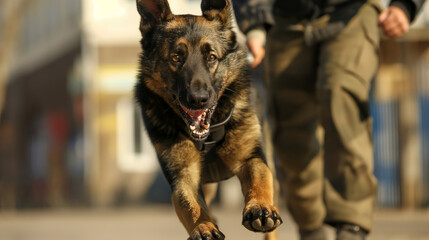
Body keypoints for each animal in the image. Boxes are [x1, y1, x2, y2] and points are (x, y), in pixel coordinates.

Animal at [135, 0, 280, 240]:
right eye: (176, 58)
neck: (208, 136)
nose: (198, 100)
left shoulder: (250, 158)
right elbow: (191, 205)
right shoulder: (183, 176)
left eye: (211, 57)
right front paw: (203, 226)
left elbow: (259, 180)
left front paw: (260, 207)